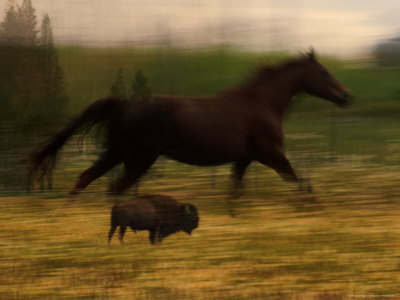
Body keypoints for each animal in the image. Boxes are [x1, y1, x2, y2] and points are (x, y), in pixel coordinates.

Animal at [28, 50, 350, 196]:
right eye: (323, 72)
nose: (346, 96)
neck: (263, 103)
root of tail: (124, 104)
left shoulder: (245, 158)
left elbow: (234, 191)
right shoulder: (270, 153)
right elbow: (298, 181)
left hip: (116, 152)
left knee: (86, 178)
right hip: (138, 158)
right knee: (114, 187)